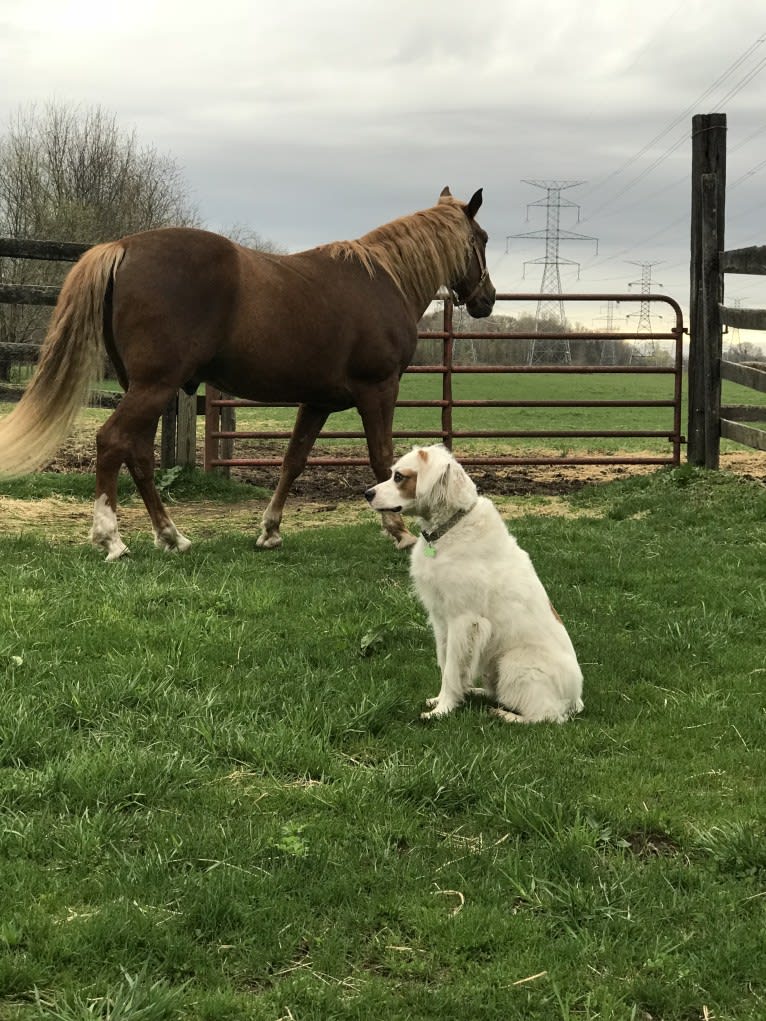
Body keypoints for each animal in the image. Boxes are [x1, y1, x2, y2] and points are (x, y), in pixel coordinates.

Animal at [0, 187, 498, 563]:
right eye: (483, 238)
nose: (487, 299)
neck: (385, 279)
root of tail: (121, 247)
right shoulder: (378, 389)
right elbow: (382, 458)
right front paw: (399, 532)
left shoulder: (316, 401)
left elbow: (293, 461)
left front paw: (270, 531)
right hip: (154, 386)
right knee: (111, 442)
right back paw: (112, 539)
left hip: (143, 388)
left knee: (137, 453)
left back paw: (171, 536)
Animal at [369, 447, 584, 726]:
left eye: (399, 477)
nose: (367, 494)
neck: (448, 530)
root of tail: (576, 698)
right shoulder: (440, 620)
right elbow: (445, 662)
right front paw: (442, 700)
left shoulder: (463, 620)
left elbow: (451, 669)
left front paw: (442, 710)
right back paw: (476, 692)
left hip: (513, 664)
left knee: (548, 715)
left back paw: (505, 715)